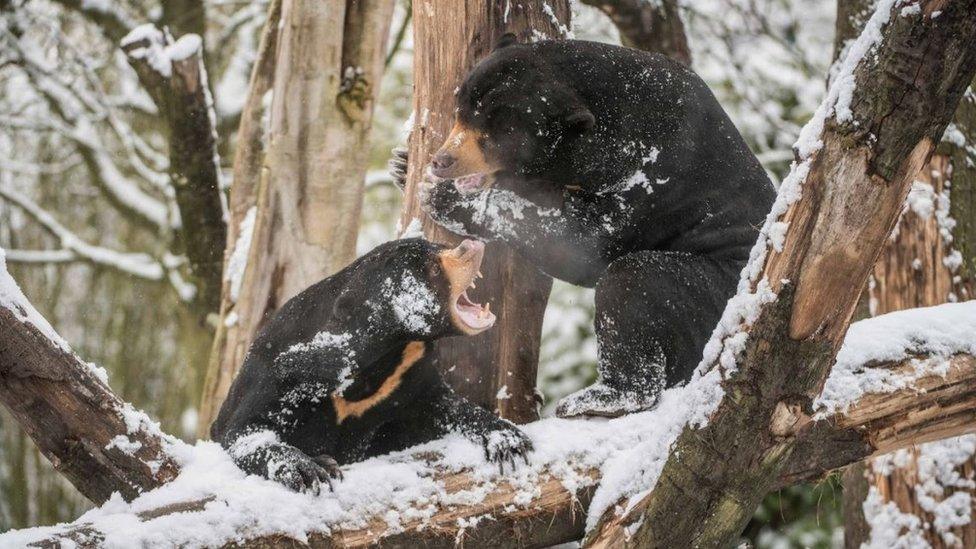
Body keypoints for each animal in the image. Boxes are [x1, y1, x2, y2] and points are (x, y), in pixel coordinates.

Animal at [210, 238, 532, 494]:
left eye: (438, 245)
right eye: (433, 269)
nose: (472, 243)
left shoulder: (410, 377)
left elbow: (445, 404)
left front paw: (509, 440)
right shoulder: (283, 378)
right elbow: (245, 430)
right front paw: (310, 469)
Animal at [420, 36, 776, 418]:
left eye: (495, 134)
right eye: (461, 111)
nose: (441, 161)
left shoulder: (650, 175)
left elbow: (585, 245)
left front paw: (441, 197)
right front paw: (403, 164)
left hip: (716, 292)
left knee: (635, 282)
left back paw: (598, 397)